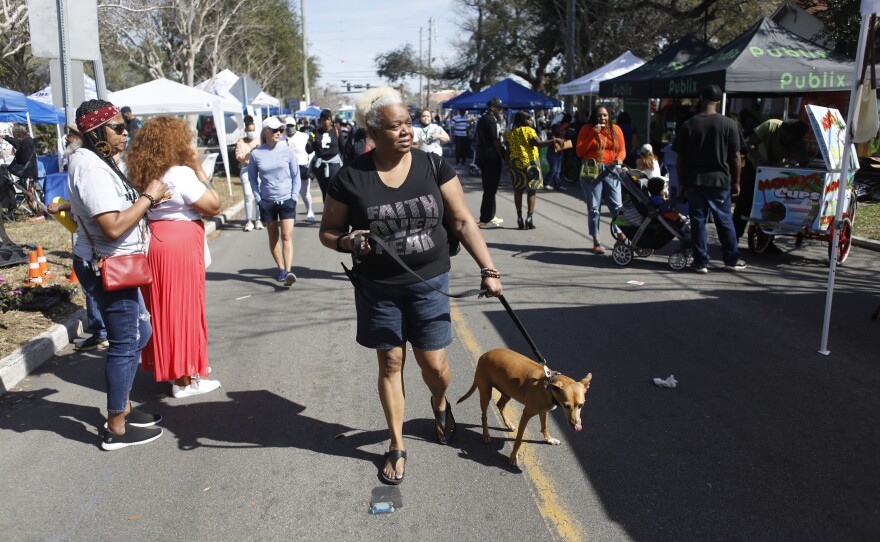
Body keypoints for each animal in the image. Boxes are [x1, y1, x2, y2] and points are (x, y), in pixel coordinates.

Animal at [454, 350, 592, 466]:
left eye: (581, 405)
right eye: (566, 406)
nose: (577, 426)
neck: (548, 385)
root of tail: (484, 355)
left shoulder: (544, 411)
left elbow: (544, 426)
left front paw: (549, 439)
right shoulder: (526, 414)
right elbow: (519, 439)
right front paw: (513, 456)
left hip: (507, 392)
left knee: (500, 405)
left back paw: (508, 423)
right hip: (485, 393)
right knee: (484, 416)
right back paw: (486, 434)